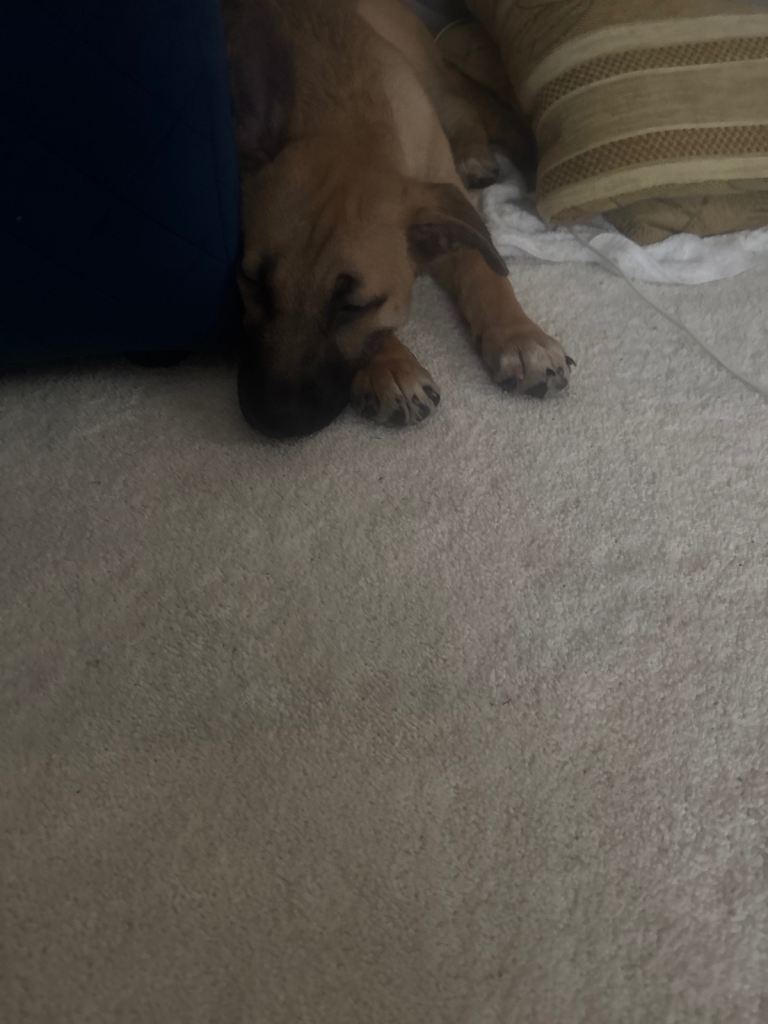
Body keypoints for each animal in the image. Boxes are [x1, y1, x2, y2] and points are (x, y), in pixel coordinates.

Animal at [224, 0, 573, 438]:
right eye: (251, 281)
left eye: (354, 307)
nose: (275, 422)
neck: (343, 117)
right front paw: (393, 367)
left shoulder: (448, 206)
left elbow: (486, 271)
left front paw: (521, 337)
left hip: (428, 75)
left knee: (463, 105)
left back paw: (475, 154)